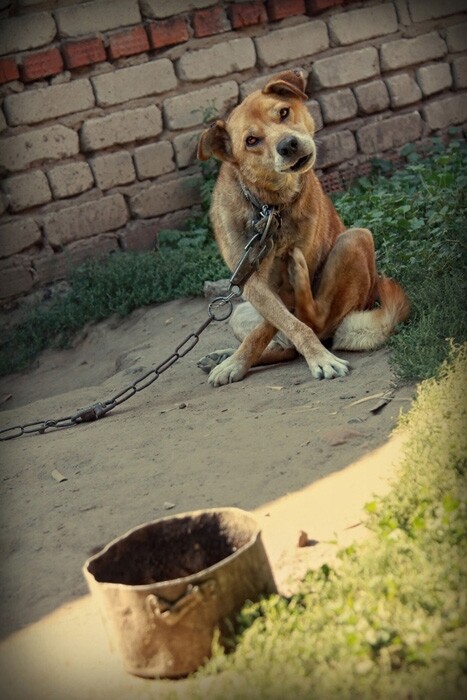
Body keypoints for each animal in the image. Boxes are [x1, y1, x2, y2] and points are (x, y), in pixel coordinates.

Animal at [197, 69, 410, 388]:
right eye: (251, 140)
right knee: (286, 344)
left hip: (355, 238)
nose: (288, 145)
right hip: (239, 312)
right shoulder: (251, 283)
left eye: (284, 112)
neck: (271, 208)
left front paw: (321, 359)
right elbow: (283, 325)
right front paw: (234, 363)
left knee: (315, 320)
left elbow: (290, 324)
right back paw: (225, 356)